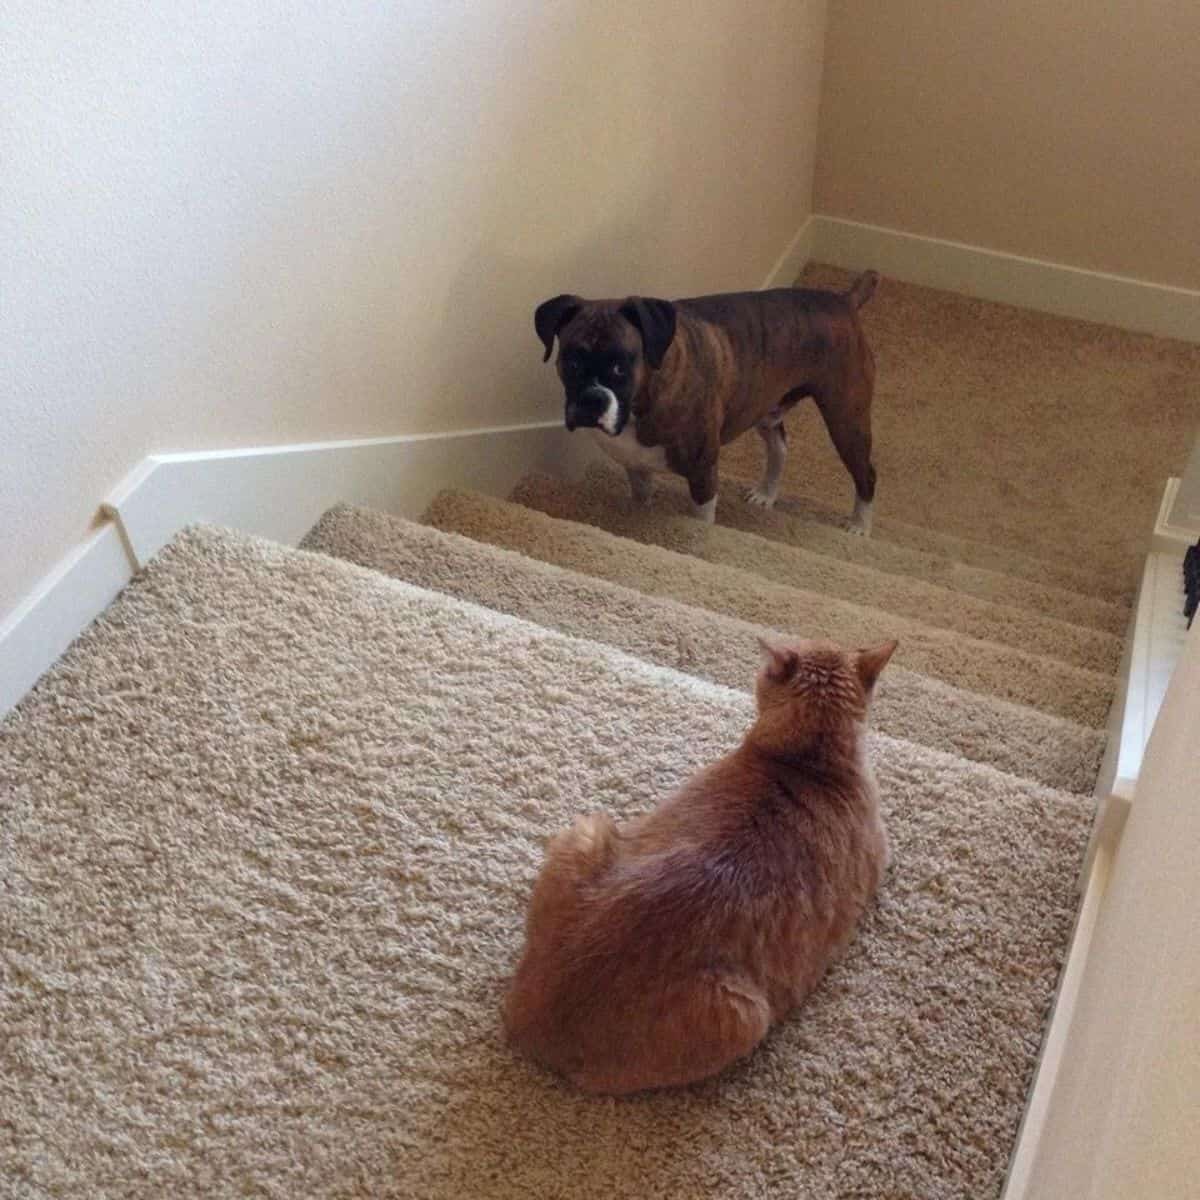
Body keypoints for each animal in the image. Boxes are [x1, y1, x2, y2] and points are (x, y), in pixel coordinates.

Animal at [535, 274, 883, 537]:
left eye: (621, 366)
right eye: (572, 362)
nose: (592, 399)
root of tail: (843, 300)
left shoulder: (702, 473)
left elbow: (700, 520)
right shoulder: (636, 466)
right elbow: (641, 499)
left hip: (845, 420)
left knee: (866, 474)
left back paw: (859, 527)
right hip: (765, 407)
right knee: (780, 447)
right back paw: (766, 494)